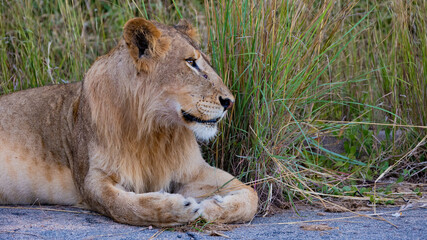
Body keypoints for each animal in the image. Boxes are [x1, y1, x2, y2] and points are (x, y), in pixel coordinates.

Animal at [0, 18, 258, 225]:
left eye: (206, 62)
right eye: (190, 62)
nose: (230, 101)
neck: (156, 129)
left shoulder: (192, 172)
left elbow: (251, 194)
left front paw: (213, 207)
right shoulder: (91, 179)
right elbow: (124, 206)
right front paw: (176, 209)